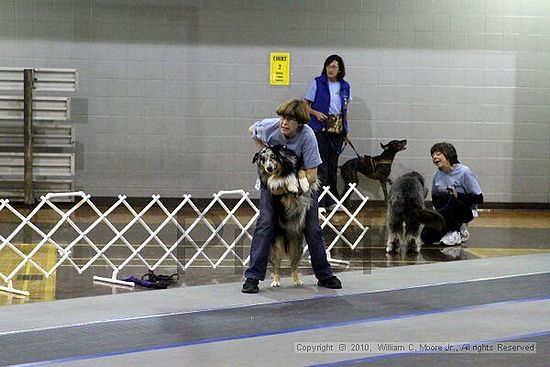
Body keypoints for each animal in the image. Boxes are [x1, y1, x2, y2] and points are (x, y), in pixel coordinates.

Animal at [253, 146, 320, 288]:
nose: (269, 168)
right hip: (277, 246)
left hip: (297, 247)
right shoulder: (273, 181)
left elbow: (300, 171)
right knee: (277, 266)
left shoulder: (298, 165)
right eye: (262, 159)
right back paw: (276, 281)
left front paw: (303, 184)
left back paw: (297, 280)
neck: (282, 168)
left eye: (273, 156)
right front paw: (291, 185)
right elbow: (277, 180)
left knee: (294, 265)